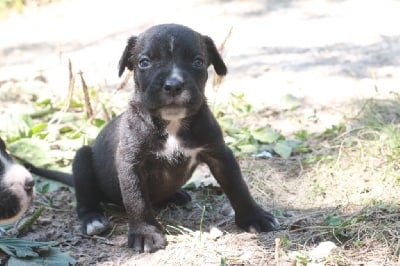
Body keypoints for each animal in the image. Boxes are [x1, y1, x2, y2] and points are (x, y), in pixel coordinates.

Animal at [72, 23, 278, 254]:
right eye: (144, 62)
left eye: (197, 61)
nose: (173, 84)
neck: (171, 123)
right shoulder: (131, 163)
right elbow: (137, 200)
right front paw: (145, 234)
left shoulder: (220, 155)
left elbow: (238, 187)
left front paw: (255, 217)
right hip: (81, 160)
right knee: (85, 199)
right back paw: (93, 220)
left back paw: (176, 195)